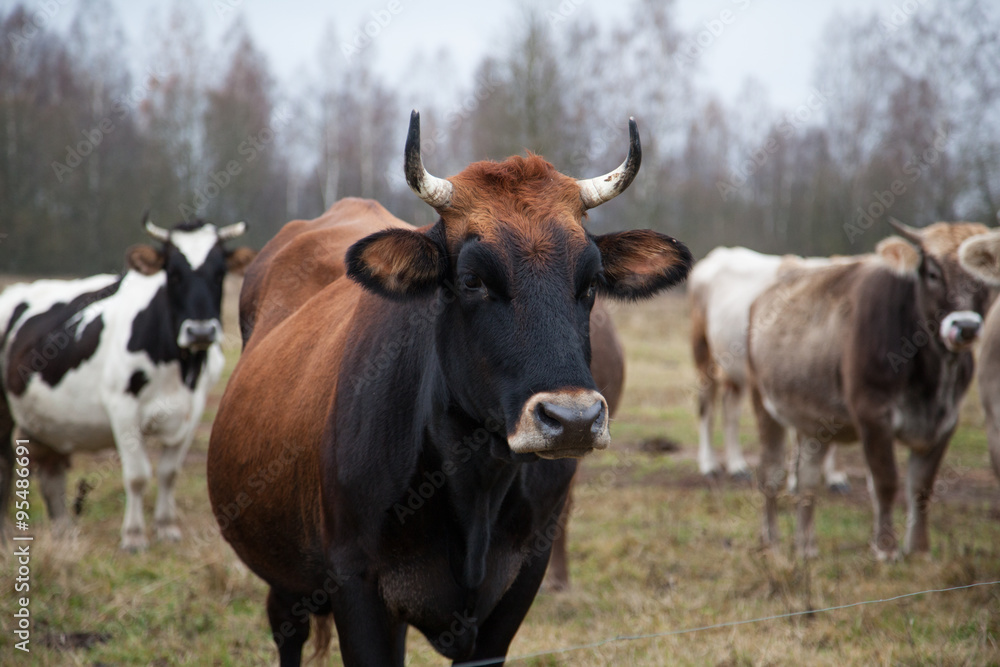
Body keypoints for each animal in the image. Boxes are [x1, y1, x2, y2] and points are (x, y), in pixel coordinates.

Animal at [0, 217, 254, 552]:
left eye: (220, 273)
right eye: (173, 273)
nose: (200, 331)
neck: (179, 366)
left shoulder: (193, 410)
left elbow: (169, 473)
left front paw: (167, 528)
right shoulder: (122, 409)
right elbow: (137, 475)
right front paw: (133, 536)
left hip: (48, 421)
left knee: (51, 473)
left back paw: (65, 534)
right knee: (5, 465)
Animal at [207, 112, 692, 664]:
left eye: (590, 282)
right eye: (472, 279)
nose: (573, 420)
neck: (476, 482)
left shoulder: (518, 587)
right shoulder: (357, 589)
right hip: (285, 578)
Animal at [692, 248, 848, 488]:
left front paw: (836, 477)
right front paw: (795, 480)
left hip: (734, 370)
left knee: (730, 409)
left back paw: (737, 465)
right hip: (704, 354)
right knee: (706, 405)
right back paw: (709, 465)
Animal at [752, 222, 992, 560]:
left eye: (984, 277)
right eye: (933, 273)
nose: (966, 327)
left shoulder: (946, 422)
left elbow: (922, 487)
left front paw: (919, 550)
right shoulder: (873, 416)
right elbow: (886, 482)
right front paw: (886, 549)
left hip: (814, 421)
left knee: (808, 479)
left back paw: (807, 547)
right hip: (765, 405)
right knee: (770, 474)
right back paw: (771, 542)